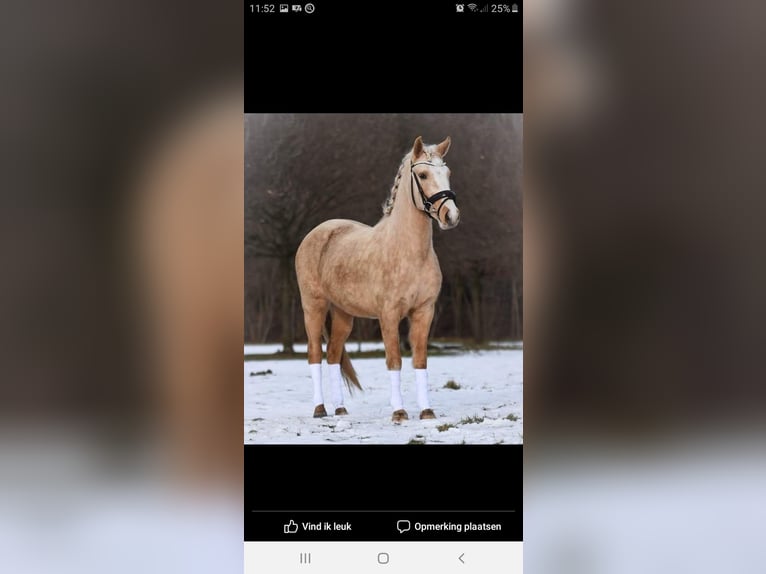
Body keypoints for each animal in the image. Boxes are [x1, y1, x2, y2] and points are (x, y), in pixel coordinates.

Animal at [295, 136, 460, 423]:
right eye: (423, 174)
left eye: (447, 173)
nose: (451, 216)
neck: (409, 252)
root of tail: (316, 233)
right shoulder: (389, 315)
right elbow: (394, 360)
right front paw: (399, 413)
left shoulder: (424, 312)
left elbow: (420, 360)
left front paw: (427, 412)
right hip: (313, 307)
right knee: (315, 353)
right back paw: (320, 409)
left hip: (343, 314)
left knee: (333, 354)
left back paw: (340, 409)